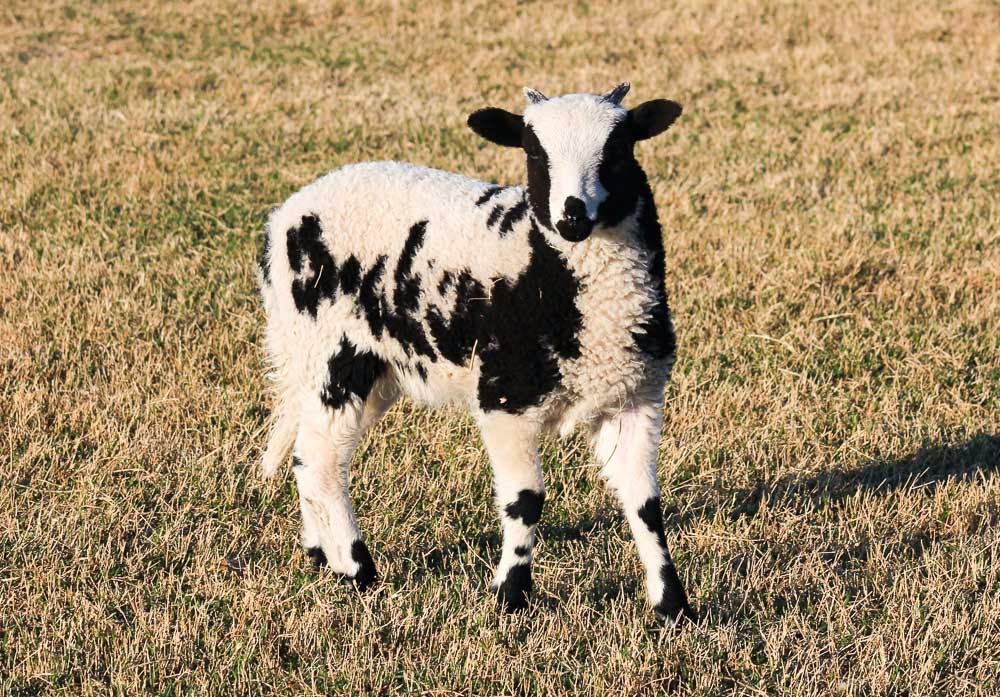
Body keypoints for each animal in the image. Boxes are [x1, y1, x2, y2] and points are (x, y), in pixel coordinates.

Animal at [257, 82, 694, 625]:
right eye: (533, 154)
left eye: (618, 150)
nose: (571, 216)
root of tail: (285, 216)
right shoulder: (504, 398)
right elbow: (526, 500)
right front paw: (511, 597)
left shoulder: (635, 397)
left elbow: (645, 504)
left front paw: (674, 606)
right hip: (329, 351)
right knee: (321, 463)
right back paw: (360, 572)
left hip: (365, 367)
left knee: (309, 454)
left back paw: (322, 555)